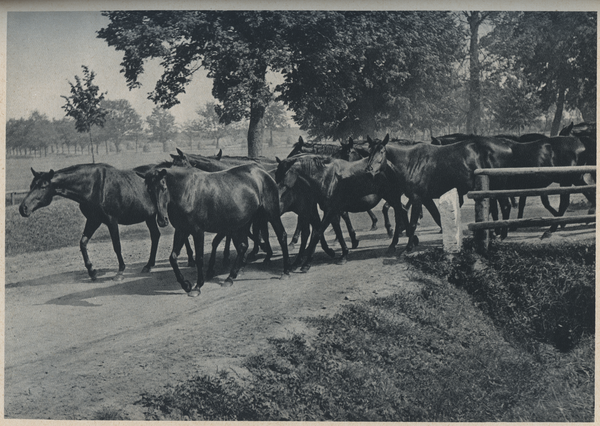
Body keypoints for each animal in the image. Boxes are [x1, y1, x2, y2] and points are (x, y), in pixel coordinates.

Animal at [19, 162, 195, 280]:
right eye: (31, 185)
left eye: (42, 186)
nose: (23, 208)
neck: (93, 186)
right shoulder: (93, 220)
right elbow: (83, 243)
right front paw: (92, 271)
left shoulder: (111, 220)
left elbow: (116, 245)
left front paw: (120, 271)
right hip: (151, 217)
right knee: (156, 236)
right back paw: (149, 265)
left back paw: (190, 260)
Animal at [142, 162, 290, 296]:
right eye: (149, 190)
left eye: (163, 187)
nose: (162, 220)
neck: (187, 192)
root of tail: (262, 172)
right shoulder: (182, 230)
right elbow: (172, 257)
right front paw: (186, 285)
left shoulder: (197, 231)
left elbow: (199, 258)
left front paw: (197, 286)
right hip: (243, 222)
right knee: (243, 246)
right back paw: (230, 278)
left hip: (271, 214)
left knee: (281, 236)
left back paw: (285, 272)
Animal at [276, 135, 408, 272]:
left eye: (282, 174)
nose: (276, 187)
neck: (326, 178)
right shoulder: (329, 209)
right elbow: (335, 229)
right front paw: (344, 252)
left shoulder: (328, 209)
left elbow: (317, 231)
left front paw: (307, 262)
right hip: (392, 198)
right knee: (402, 210)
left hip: (392, 196)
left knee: (398, 211)